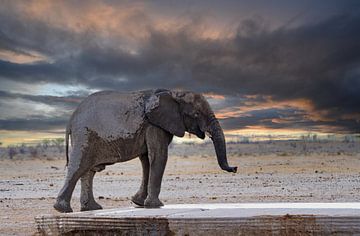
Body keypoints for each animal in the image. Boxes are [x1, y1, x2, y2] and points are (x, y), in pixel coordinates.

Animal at [53, 89, 238, 214]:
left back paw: (92, 209)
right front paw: (157, 206)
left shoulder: (152, 126)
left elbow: (147, 160)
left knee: (89, 171)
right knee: (79, 166)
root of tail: (71, 117)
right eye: (196, 114)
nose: (235, 168)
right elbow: (159, 156)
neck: (173, 93)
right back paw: (63, 209)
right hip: (85, 135)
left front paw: (139, 203)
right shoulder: (155, 125)